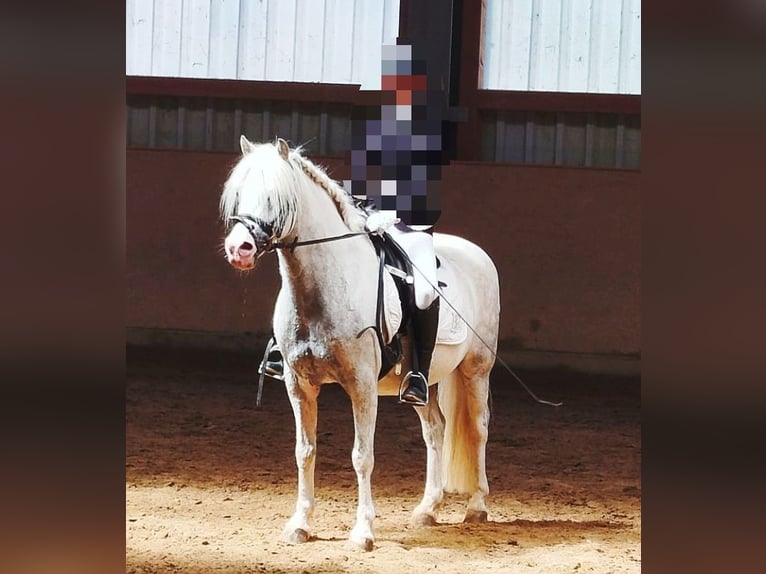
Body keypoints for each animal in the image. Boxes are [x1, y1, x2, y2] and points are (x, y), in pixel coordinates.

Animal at [220, 136, 500, 551]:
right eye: (239, 195)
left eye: (274, 198)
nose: (238, 249)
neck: (321, 290)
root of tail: (476, 253)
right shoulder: (298, 386)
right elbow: (304, 452)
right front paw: (300, 524)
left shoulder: (362, 386)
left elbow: (361, 456)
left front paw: (363, 531)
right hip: (427, 378)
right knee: (435, 430)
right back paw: (427, 510)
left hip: (476, 368)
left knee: (478, 428)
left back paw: (477, 506)